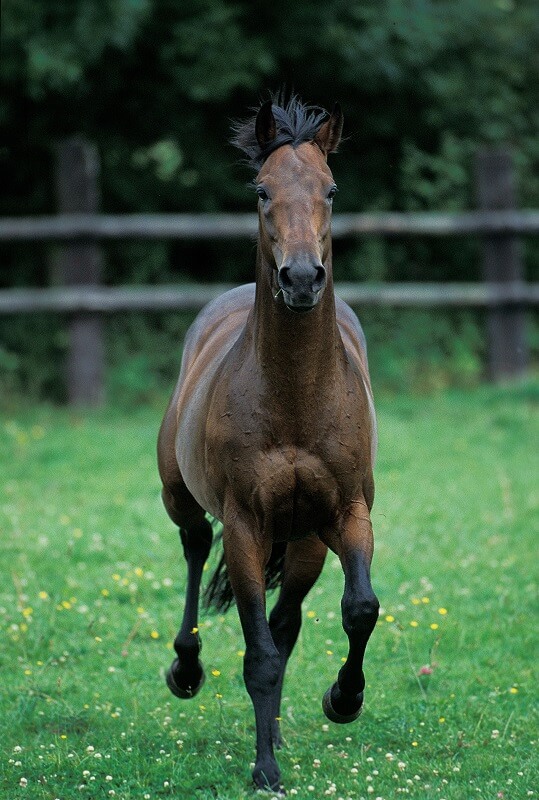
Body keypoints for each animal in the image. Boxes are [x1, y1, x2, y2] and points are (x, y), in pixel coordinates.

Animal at [158, 97, 380, 792]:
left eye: (331, 189)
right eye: (261, 190)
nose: (302, 277)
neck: (295, 399)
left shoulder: (346, 514)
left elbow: (359, 609)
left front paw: (343, 699)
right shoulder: (246, 525)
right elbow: (257, 654)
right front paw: (264, 772)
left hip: (304, 540)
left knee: (288, 624)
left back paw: (280, 726)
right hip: (181, 497)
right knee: (195, 548)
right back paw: (186, 670)